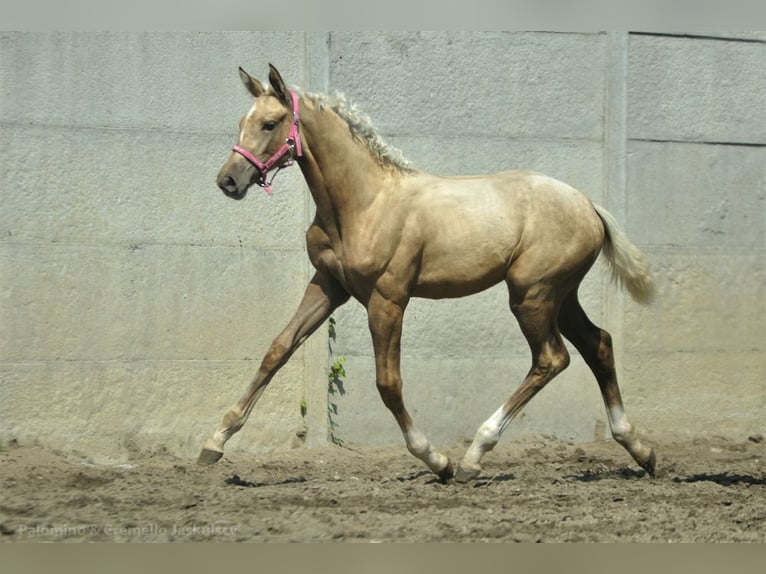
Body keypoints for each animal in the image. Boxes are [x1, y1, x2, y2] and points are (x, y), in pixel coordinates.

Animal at [200, 65, 660, 484]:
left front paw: (437, 461)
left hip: (531, 295)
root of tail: (589, 204)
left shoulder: (388, 298)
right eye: (242, 122)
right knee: (599, 344)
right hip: (561, 296)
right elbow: (277, 350)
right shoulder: (329, 286)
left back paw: (474, 456)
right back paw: (642, 451)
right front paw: (214, 443)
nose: (228, 180)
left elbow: (388, 383)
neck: (364, 203)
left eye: (270, 123)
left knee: (552, 358)